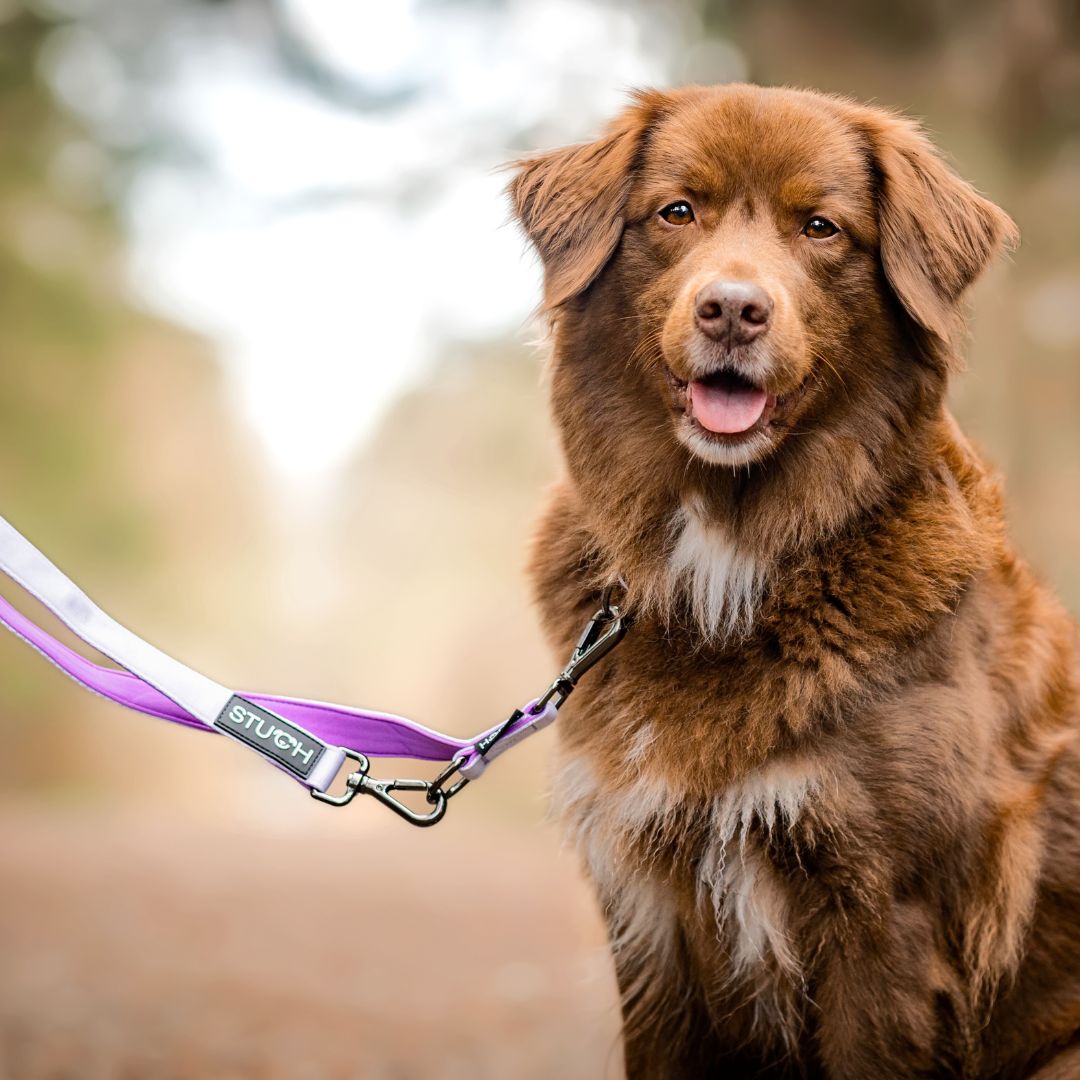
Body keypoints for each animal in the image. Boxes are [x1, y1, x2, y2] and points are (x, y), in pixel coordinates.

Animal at [509, 86, 1080, 1080]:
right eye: (678, 212)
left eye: (820, 227)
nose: (733, 311)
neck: (731, 549)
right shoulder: (650, 916)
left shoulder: (890, 920)